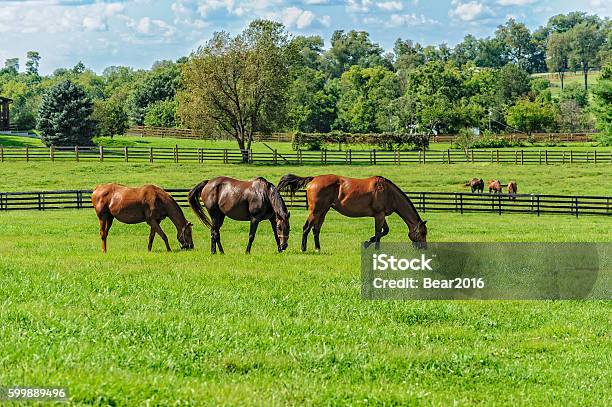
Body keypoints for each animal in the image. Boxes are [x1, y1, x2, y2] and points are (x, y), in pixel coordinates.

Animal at [276, 175, 426, 252]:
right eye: (423, 233)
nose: (424, 248)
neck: (388, 191)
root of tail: (313, 179)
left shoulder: (381, 215)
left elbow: (384, 231)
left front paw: (368, 242)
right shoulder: (379, 215)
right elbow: (379, 232)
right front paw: (375, 248)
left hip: (323, 211)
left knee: (316, 229)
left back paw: (318, 248)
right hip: (316, 211)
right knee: (306, 228)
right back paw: (303, 248)